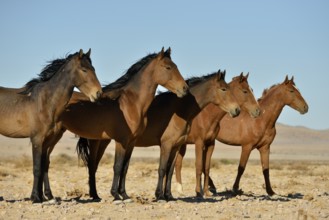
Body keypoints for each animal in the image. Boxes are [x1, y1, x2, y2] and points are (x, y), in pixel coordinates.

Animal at [0, 48, 102, 203]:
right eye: (84, 69)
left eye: (94, 69)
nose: (98, 93)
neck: (45, 102)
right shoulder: (37, 139)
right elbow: (37, 168)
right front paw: (36, 198)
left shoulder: (47, 141)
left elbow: (43, 166)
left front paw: (41, 196)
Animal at [41, 47, 187, 204]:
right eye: (168, 67)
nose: (184, 88)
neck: (132, 103)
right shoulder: (121, 141)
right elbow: (117, 167)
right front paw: (116, 196)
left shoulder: (131, 142)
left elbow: (125, 167)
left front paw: (125, 195)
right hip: (55, 135)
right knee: (47, 160)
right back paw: (49, 196)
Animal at [77, 70, 241, 201]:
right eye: (224, 89)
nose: (237, 110)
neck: (180, 109)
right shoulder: (166, 144)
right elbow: (162, 168)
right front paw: (159, 195)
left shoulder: (176, 145)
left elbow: (170, 170)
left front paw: (169, 195)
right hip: (98, 142)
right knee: (92, 165)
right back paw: (95, 195)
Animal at [174, 75, 308, 196]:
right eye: (291, 91)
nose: (306, 107)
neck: (262, 120)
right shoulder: (247, 146)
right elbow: (241, 168)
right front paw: (235, 189)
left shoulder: (265, 148)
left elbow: (266, 169)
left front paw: (270, 191)